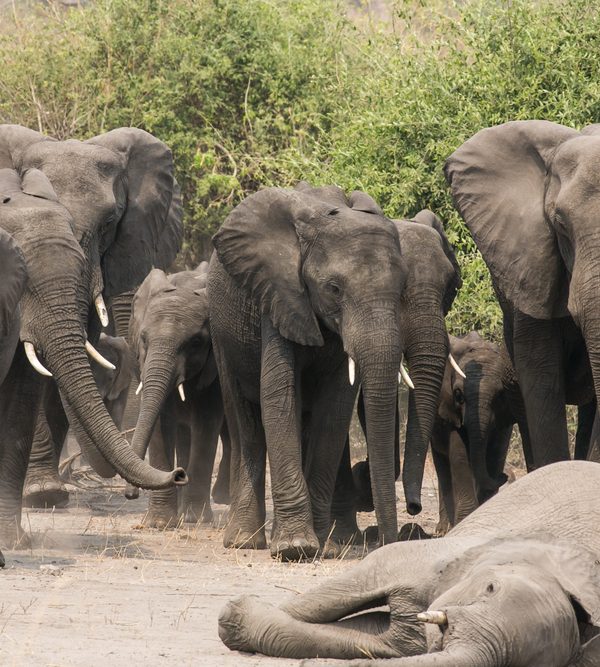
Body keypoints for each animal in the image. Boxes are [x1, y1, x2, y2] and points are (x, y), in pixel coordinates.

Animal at [124, 262, 229, 527]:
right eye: (143, 338)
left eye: (196, 342)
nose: (131, 494)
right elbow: (161, 422)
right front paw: (159, 524)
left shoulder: (215, 366)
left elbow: (207, 421)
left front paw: (196, 520)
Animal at [207, 182, 460, 559]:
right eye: (334, 289)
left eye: (450, 288)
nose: (412, 511)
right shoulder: (280, 294)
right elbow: (279, 395)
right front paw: (295, 548)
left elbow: (336, 408)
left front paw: (320, 546)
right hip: (222, 329)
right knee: (246, 423)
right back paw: (245, 541)